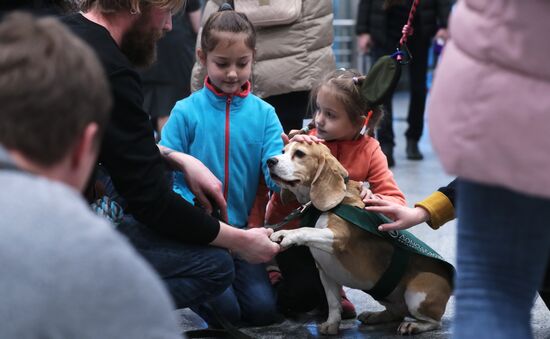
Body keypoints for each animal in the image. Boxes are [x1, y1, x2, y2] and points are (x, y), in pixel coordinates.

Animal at [268, 142, 452, 336]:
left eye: (299, 153)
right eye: (283, 151)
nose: (270, 161)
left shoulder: (338, 237)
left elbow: (307, 230)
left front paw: (287, 234)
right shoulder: (325, 272)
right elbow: (333, 303)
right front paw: (332, 324)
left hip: (416, 295)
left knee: (433, 322)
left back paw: (414, 325)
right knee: (397, 313)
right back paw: (375, 315)